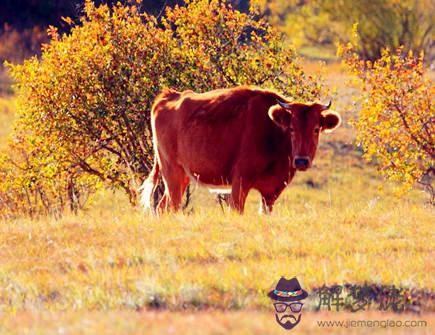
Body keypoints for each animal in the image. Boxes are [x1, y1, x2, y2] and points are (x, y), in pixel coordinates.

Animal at [141, 86, 342, 213]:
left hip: (182, 177)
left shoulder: (271, 193)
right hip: (172, 173)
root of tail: (168, 97)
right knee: (171, 206)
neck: (272, 131)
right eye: (291, 128)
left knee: (163, 206)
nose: (301, 160)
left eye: (316, 129)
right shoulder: (240, 184)